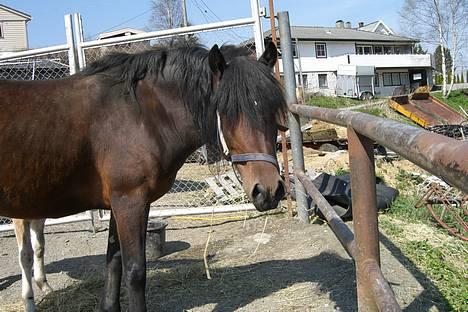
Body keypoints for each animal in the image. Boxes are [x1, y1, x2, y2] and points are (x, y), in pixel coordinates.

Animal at [0, 42, 288, 312]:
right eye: (228, 110)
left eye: (271, 110)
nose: (269, 190)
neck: (140, 115)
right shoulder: (130, 202)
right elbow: (135, 271)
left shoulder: (121, 205)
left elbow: (113, 262)